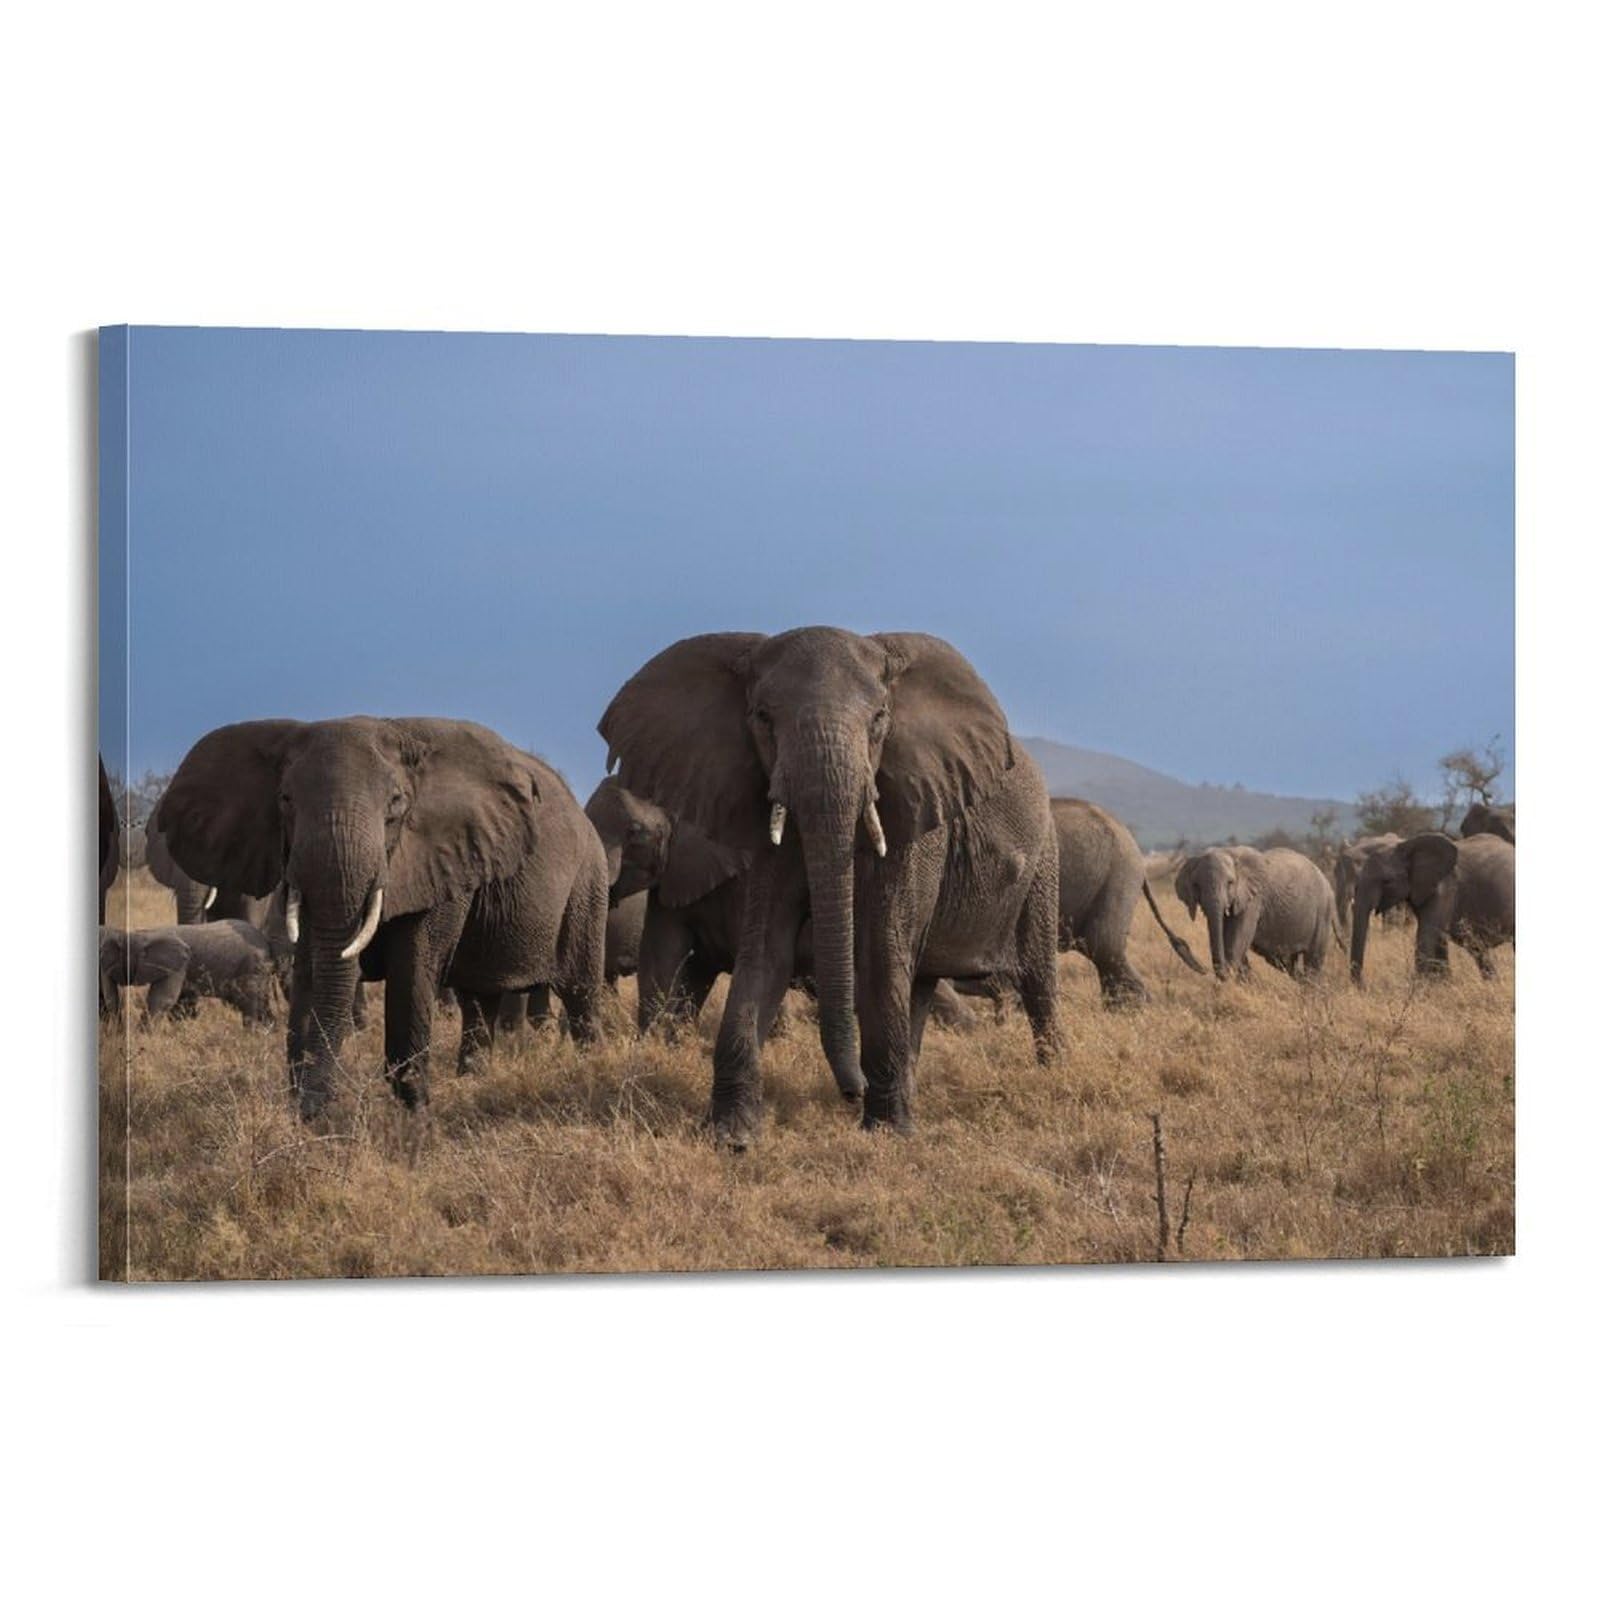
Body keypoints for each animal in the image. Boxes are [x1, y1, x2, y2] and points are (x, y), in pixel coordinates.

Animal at [99, 919, 278, 1025]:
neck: (145, 933)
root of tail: (266, 942)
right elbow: (179, 1005)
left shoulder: (180, 964)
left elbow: (163, 999)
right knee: (260, 1002)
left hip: (253, 966)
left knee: (249, 1002)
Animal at [155, 716, 609, 1118]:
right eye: (285, 800)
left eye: (395, 805)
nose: (315, 1113)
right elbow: (313, 964)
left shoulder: (442, 858)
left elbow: (412, 967)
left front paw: (414, 1117)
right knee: (479, 999)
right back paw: (472, 1079)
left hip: (588, 880)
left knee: (579, 989)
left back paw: (589, 1065)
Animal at [599, 627, 1062, 1142]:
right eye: (762, 718)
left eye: (880, 719)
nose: (851, 1092)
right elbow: (765, 949)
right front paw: (732, 1135)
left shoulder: (914, 810)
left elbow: (880, 947)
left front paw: (888, 1134)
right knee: (920, 983)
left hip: (1043, 863)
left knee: (1036, 980)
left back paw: (1049, 1073)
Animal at [1174, 845, 1337, 980]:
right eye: (1196, 885)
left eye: (1230, 883)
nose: (1203, 970)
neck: (1230, 852)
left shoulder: (1253, 900)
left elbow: (1238, 939)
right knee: (1286, 963)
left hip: (1323, 912)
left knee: (1313, 961)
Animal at [1350, 831, 1515, 982]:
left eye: (1387, 881)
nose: (1363, 986)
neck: (1406, 846)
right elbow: (1438, 939)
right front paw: (1443, 986)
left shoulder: (1445, 887)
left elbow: (1426, 936)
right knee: (1477, 950)